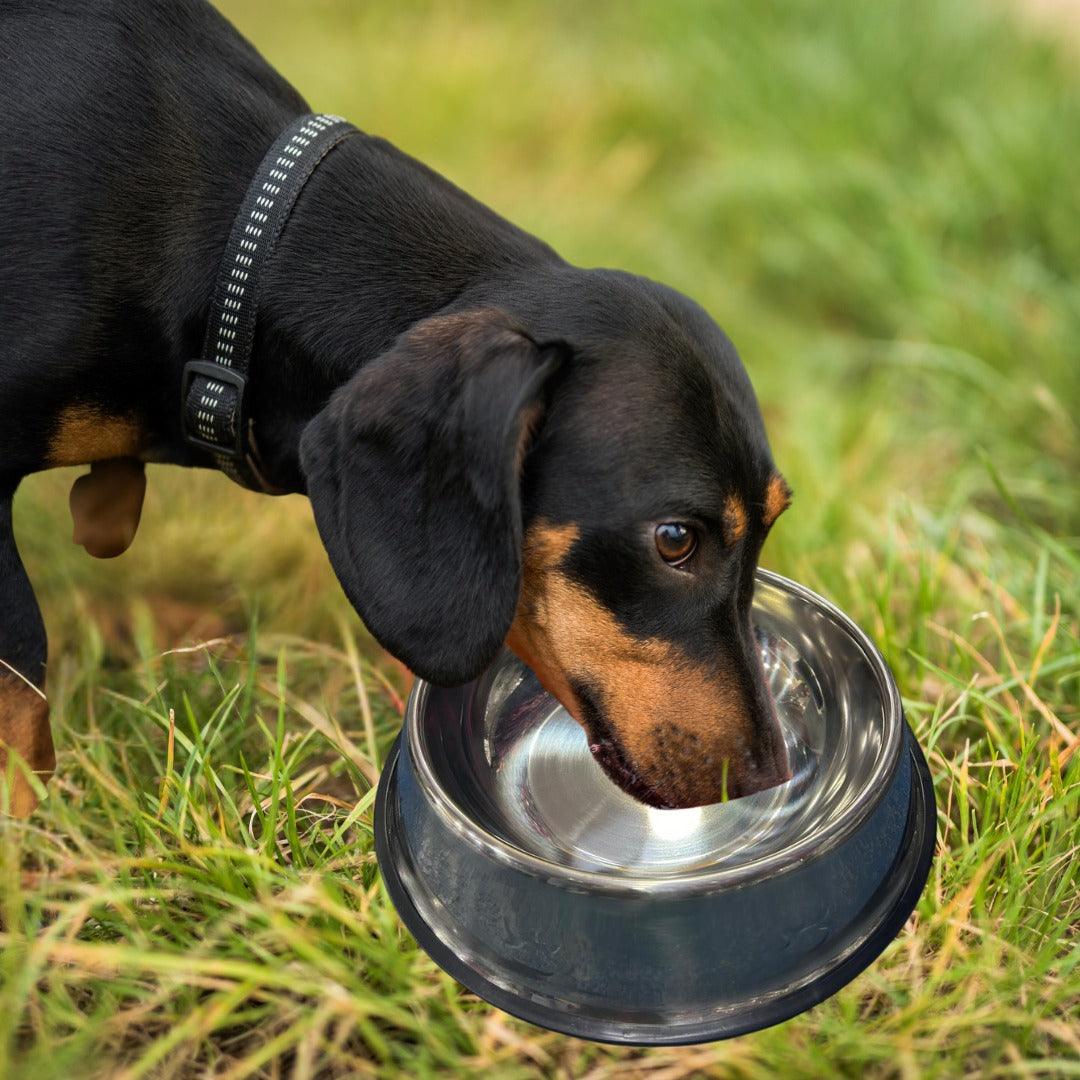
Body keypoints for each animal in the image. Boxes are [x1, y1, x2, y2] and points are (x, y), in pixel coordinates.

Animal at [0, 0, 794, 812]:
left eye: (774, 519)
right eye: (674, 540)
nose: (770, 778)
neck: (237, 238)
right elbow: (23, 671)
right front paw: (29, 829)